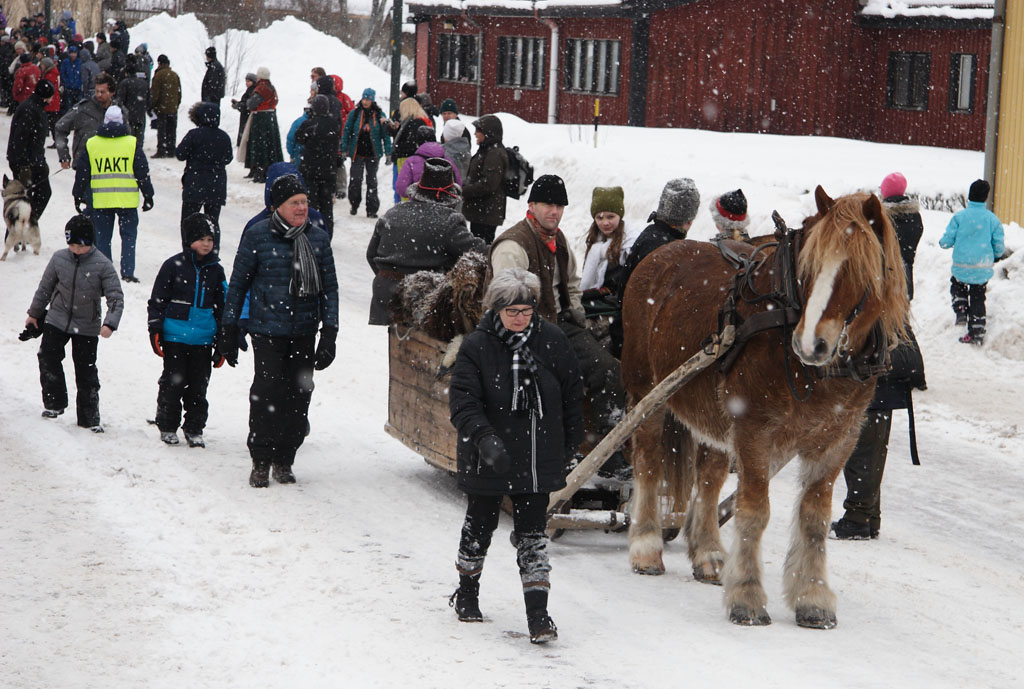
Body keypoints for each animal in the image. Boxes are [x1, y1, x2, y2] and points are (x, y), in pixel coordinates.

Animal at [620, 186, 909, 628]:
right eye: (809, 266)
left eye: (859, 271)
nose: (810, 344)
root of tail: (660, 254)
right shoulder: (755, 428)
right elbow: (754, 510)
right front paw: (747, 596)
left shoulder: (836, 440)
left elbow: (814, 518)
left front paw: (813, 597)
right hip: (647, 395)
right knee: (649, 461)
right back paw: (646, 546)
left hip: (716, 418)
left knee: (709, 477)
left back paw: (707, 552)